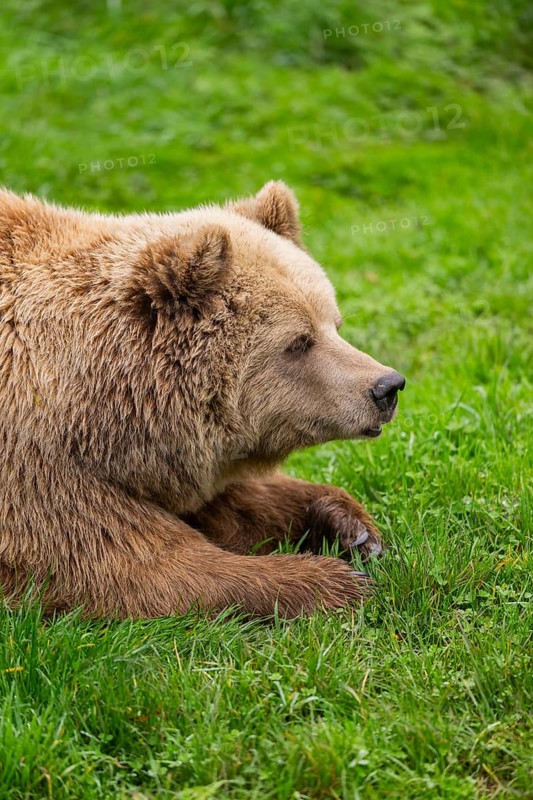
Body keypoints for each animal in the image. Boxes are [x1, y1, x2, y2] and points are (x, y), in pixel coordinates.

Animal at [0, 182, 405, 618]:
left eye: (335, 324)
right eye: (298, 341)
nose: (387, 386)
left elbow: (232, 502)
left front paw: (353, 527)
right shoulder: (35, 465)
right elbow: (128, 565)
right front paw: (332, 582)